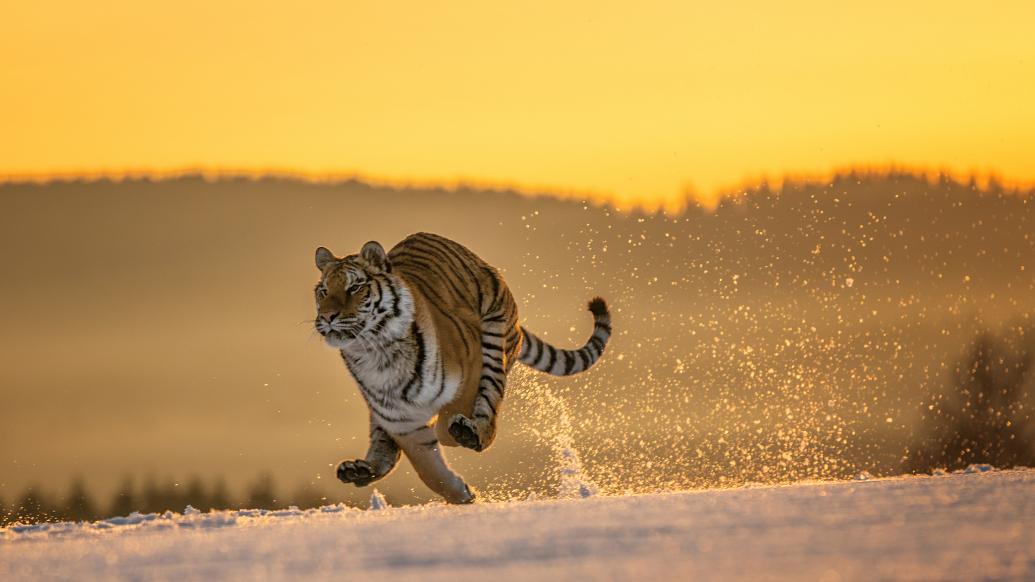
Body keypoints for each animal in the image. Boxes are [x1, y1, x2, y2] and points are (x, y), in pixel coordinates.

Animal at [310, 231, 608, 503]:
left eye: (354, 288)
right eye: (323, 291)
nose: (327, 316)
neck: (377, 352)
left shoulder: (470, 369)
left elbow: (448, 421)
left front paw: (456, 435)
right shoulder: (400, 419)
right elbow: (429, 470)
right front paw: (462, 495)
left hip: (494, 340)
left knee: (490, 415)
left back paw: (471, 433)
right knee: (383, 446)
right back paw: (359, 470)